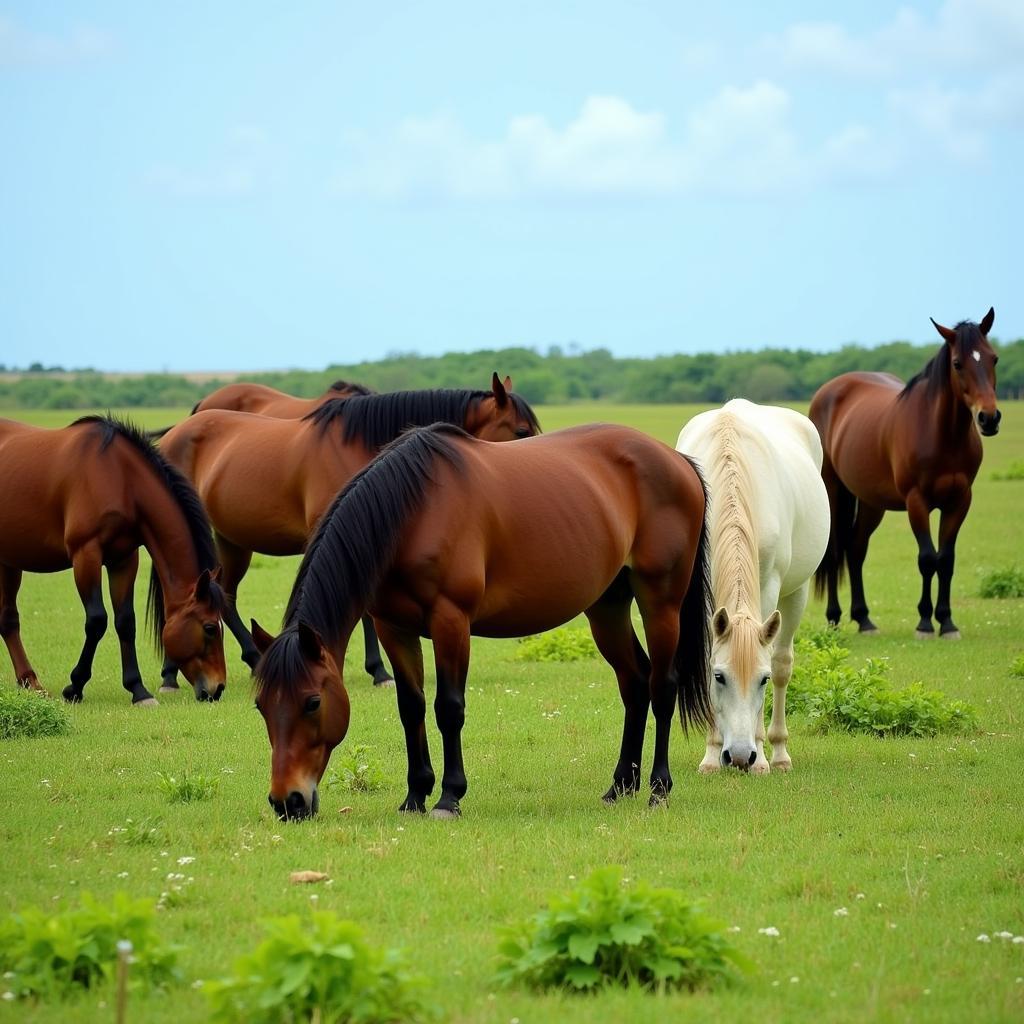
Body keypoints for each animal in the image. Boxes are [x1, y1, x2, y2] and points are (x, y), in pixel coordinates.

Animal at [0, 415, 226, 704]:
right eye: (209, 628)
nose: (217, 688)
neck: (120, 479)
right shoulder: (86, 554)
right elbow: (97, 620)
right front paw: (75, 686)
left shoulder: (123, 560)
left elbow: (125, 621)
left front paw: (138, 690)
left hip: (8, 561)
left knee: (8, 619)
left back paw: (30, 682)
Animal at [156, 372, 540, 692]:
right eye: (521, 431)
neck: (356, 449)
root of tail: (182, 428)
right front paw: (380, 671)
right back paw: (170, 675)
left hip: (233, 540)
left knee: (224, 594)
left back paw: (252, 658)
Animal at [249, 419, 712, 819]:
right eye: (260, 705)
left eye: (312, 702)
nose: (287, 801)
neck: (413, 511)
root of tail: (675, 460)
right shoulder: (393, 628)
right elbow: (411, 707)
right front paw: (415, 795)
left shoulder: (451, 621)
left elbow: (448, 707)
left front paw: (448, 797)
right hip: (607, 607)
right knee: (634, 683)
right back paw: (620, 786)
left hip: (660, 602)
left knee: (662, 686)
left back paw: (658, 788)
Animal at [675, 395, 827, 770]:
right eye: (719, 677)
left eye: (762, 679)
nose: (741, 756)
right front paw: (711, 755)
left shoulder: (768, 586)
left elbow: (772, 659)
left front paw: (761, 761)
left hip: (796, 592)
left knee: (784, 660)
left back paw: (780, 753)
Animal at [806, 307, 999, 634]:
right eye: (957, 363)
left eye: (993, 358)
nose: (989, 418)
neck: (942, 435)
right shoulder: (916, 501)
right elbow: (927, 558)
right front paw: (924, 622)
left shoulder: (959, 501)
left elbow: (946, 559)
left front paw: (947, 622)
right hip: (831, 490)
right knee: (833, 551)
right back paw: (833, 617)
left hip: (871, 502)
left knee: (855, 549)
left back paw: (864, 619)